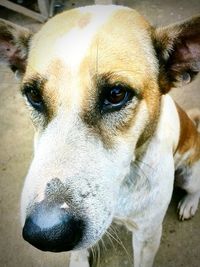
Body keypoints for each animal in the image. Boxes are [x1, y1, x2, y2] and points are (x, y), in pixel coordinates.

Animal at [0, 4, 200, 267]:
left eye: (116, 94)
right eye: (33, 95)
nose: (46, 234)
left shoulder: (147, 235)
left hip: (190, 173)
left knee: (195, 188)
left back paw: (189, 203)